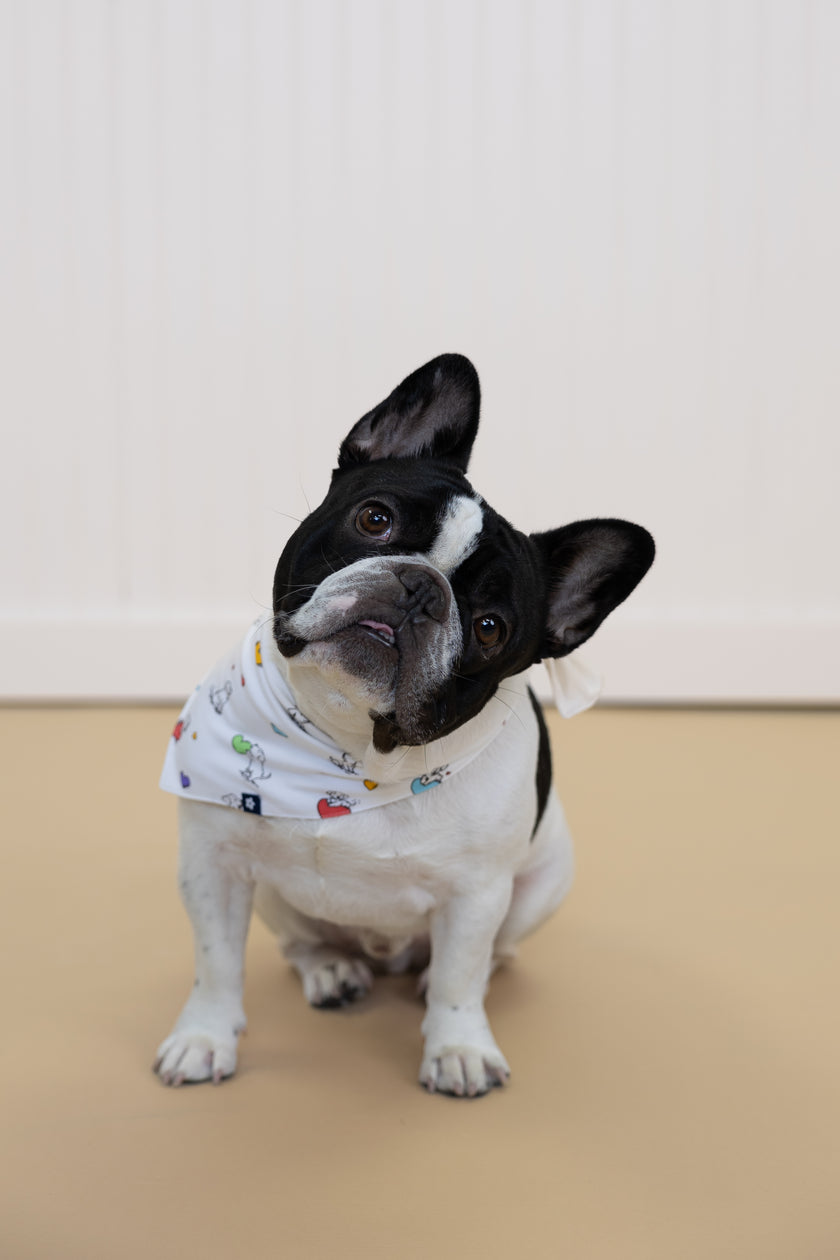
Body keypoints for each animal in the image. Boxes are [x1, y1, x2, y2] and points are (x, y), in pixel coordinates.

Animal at [156, 352, 654, 1093]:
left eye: (490, 627)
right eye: (374, 519)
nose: (421, 587)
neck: (347, 748)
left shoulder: (476, 896)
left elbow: (458, 976)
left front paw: (459, 1047)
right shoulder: (212, 865)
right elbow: (216, 962)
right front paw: (203, 1036)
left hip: (541, 887)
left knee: (485, 957)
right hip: (274, 899)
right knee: (304, 940)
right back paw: (332, 968)